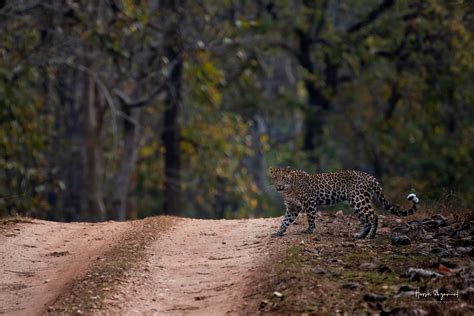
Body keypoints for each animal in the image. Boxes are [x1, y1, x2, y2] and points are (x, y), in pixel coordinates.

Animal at [268, 167, 420, 238]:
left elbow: (310, 218)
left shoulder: (309, 202)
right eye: (275, 178)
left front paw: (309, 230)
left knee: (373, 216)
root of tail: (371, 177)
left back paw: (370, 236)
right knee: (365, 220)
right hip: (355, 202)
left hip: (358, 199)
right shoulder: (292, 207)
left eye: (283, 178)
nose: (279, 186)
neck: (288, 190)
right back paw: (360, 236)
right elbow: (285, 221)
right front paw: (278, 232)